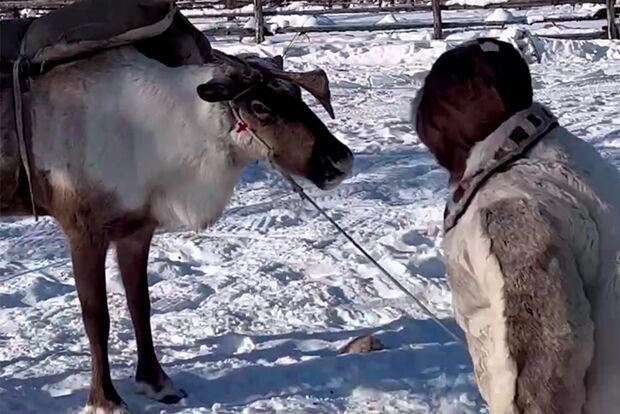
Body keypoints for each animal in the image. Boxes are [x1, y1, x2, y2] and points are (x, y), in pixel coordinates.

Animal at [0, 39, 353, 413]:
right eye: (259, 106)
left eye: (298, 95)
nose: (341, 160)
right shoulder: (84, 229)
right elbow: (96, 318)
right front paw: (106, 399)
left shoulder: (137, 230)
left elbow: (140, 305)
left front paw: (156, 382)